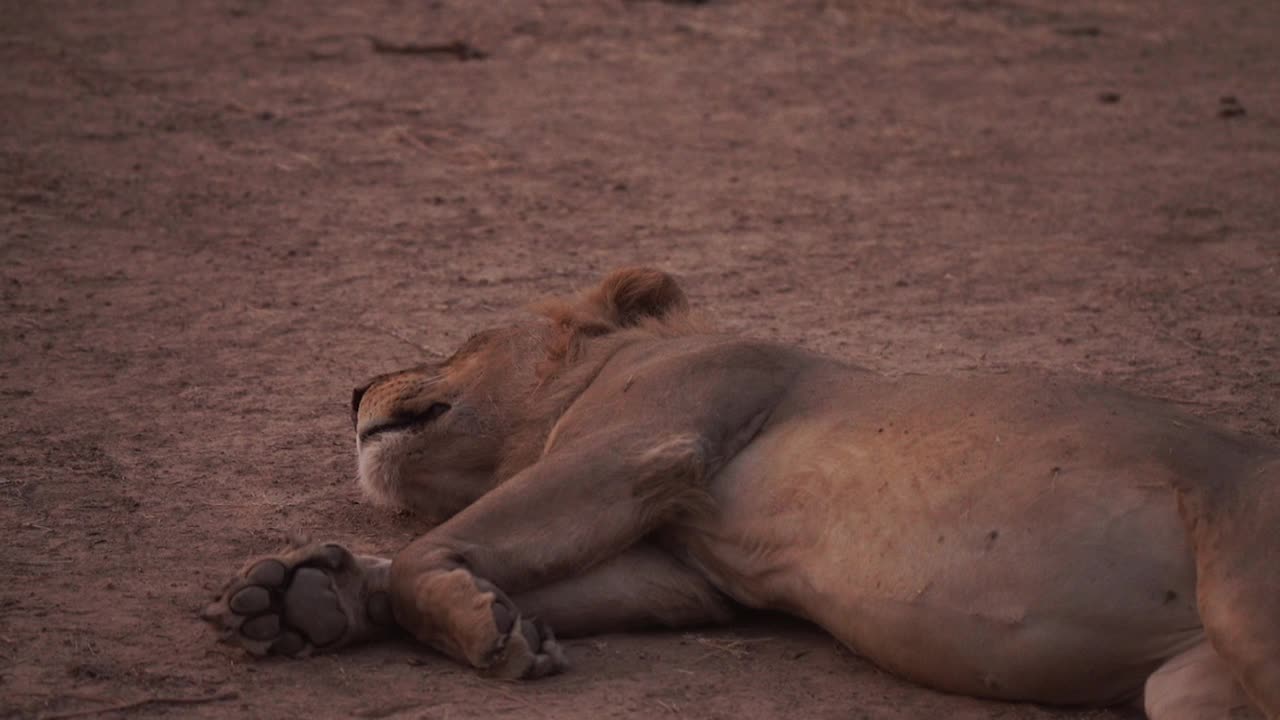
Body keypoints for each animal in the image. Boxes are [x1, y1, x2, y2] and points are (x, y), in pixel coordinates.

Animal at [204, 266, 1280, 712]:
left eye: (464, 337)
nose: (351, 389)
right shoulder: (678, 570)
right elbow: (468, 564)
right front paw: (301, 597)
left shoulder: (643, 443)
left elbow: (435, 548)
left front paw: (477, 631)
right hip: (1183, 688)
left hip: (1246, 593)